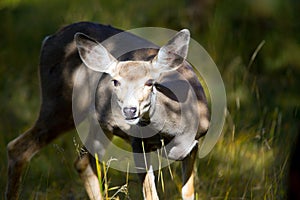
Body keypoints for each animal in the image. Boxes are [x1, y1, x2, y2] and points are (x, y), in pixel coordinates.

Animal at [5, 21, 210, 200]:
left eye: (150, 82)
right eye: (115, 81)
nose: (129, 110)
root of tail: (49, 38)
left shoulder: (194, 146)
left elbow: (188, 194)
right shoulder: (138, 144)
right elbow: (151, 195)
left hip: (98, 123)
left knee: (82, 161)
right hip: (59, 103)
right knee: (17, 148)